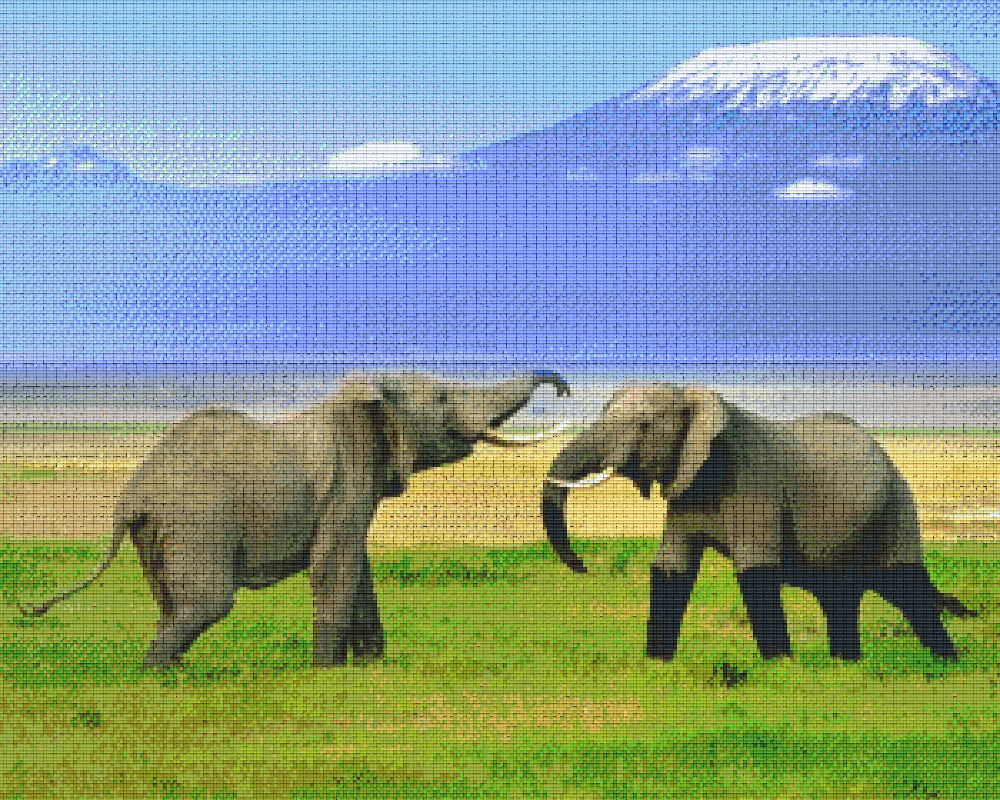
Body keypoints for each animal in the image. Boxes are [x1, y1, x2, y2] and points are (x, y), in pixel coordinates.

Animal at [13, 371, 570, 668]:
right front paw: (327, 672)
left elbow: (356, 570)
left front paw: (369, 669)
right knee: (207, 603)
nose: (562, 386)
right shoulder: (347, 480)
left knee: (171, 604)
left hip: (158, 534)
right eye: (444, 399)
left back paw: (165, 674)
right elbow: (334, 567)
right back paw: (157, 676)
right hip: (197, 519)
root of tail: (129, 496)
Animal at [541, 382, 977, 662]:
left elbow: (756, 570)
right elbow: (672, 567)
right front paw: (655, 666)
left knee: (907, 588)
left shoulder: (755, 483)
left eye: (645, 425)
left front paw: (778, 669)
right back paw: (846, 666)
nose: (582, 566)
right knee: (841, 598)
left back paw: (948, 666)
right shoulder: (686, 486)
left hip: (896, 510)